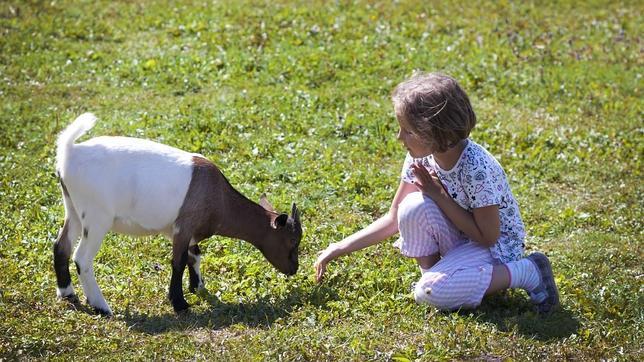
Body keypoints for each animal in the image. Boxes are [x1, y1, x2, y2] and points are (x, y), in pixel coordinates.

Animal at [54, 113, 304, 314]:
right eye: (293, 242)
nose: (294, 269)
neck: (219, 197)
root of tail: (71, 153)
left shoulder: (179, 230)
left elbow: (195, 255)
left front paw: (197, 287)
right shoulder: (184, 226)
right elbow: (179, 261)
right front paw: (180, 303)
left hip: (73, 208)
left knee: (61, 246)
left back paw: (68, 293)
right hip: (96, 216)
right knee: (82, 258)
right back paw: (102, 307)